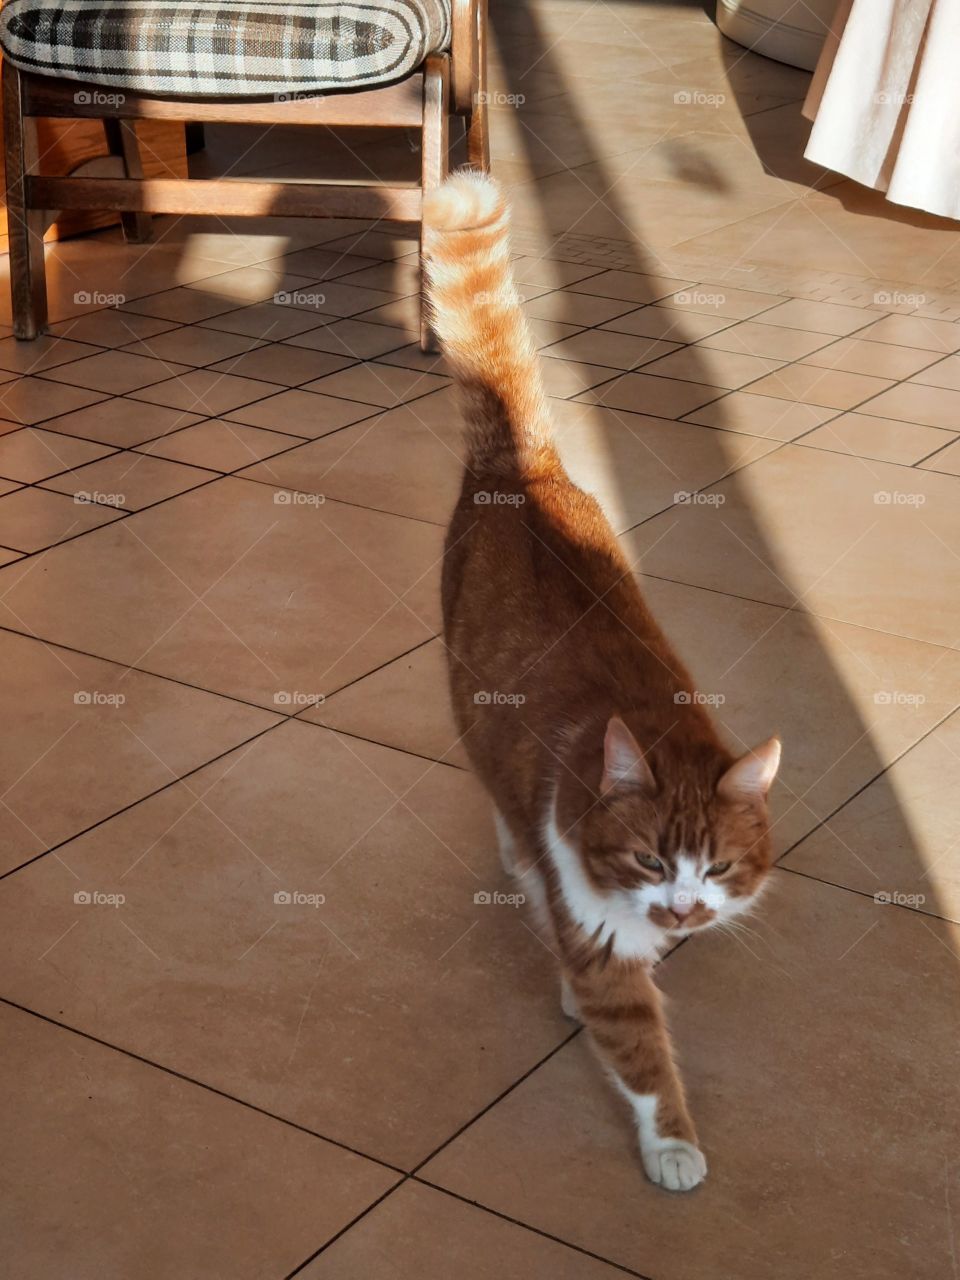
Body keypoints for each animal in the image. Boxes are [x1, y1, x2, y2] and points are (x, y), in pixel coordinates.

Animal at [427, 170, 783, 1187]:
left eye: (721, 868)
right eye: (652, 860)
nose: (685, 911)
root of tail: (524, 466)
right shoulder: (602, 944)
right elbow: (639, 1048)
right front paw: (673, 1144)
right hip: (468, 707)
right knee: (500, 806)